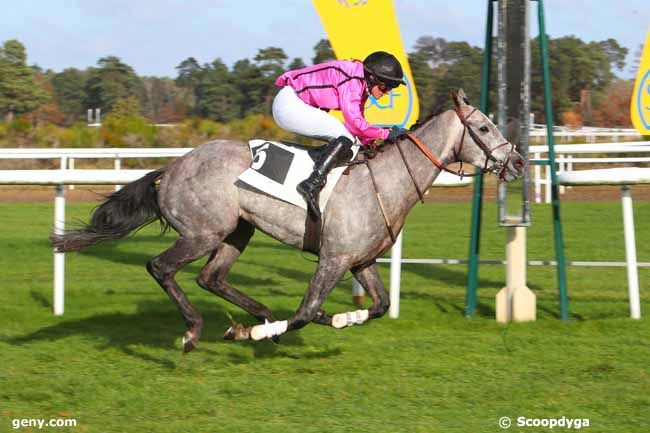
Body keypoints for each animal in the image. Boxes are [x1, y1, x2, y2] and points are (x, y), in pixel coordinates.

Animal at [52, 90, 528, 352]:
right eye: (484, 128)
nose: (519, 162)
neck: (387, 180)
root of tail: (170, 169)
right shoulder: (333, 259)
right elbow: (305, 312)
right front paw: (261, 333)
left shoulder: (360, 261)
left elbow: (377, 306)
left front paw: (338, 319)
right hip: (204, 231)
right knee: (161, 267)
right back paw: (197, 331)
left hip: (236, 231)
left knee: (211, 278)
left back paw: (258, 316)